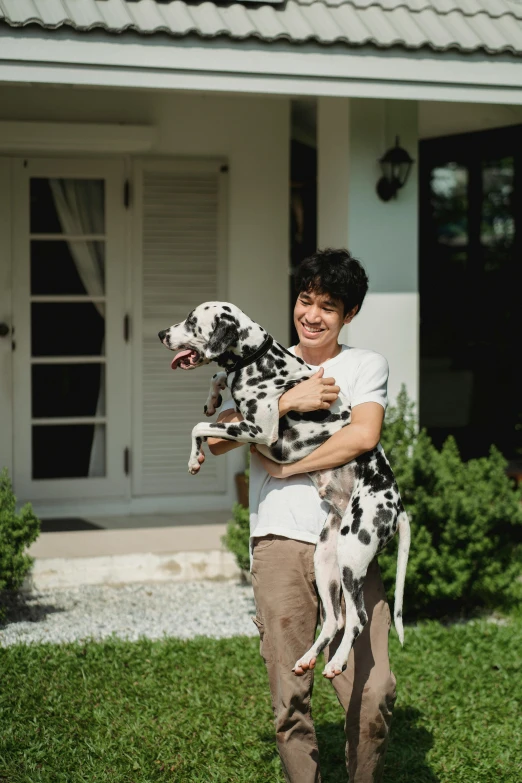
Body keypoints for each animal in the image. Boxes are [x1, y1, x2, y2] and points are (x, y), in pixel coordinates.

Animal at [156, 302, 408, 680]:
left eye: (191, 321)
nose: (161, 334)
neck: (258, 359)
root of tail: (398, 506)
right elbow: (215, 384)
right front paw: (212, 400)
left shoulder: (258, 430)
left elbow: (198, 426)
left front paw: (194, 456)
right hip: (326, 559)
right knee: (333, 621)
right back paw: (307, 659)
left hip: (352, 556)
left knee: (357, 619)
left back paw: (335, 663)